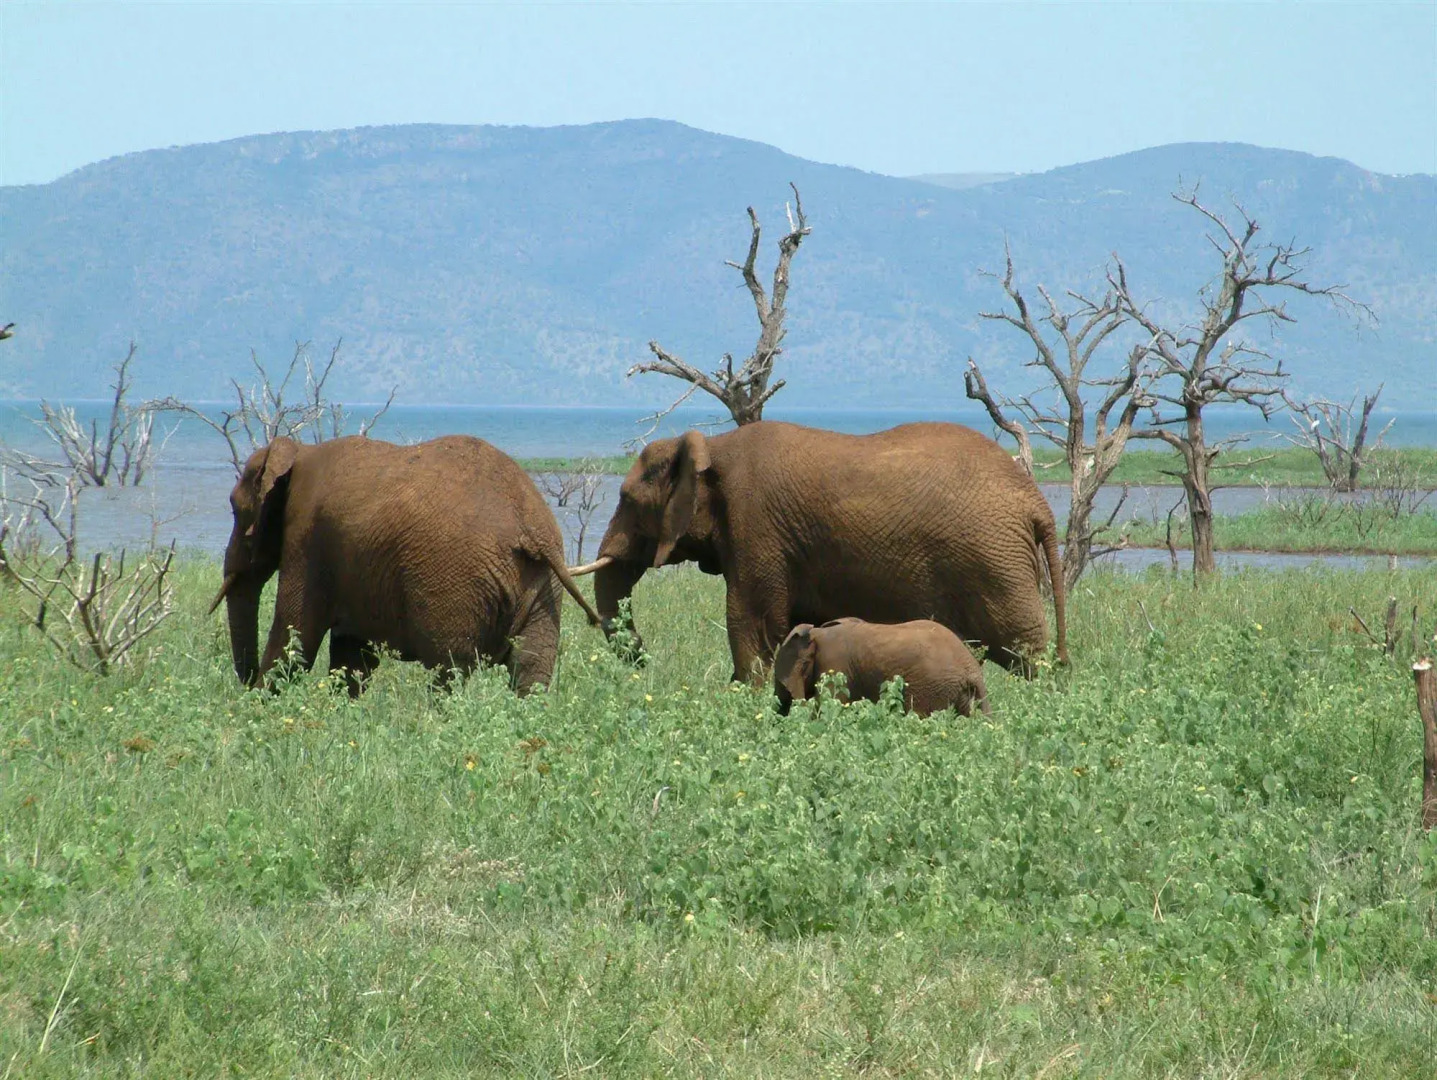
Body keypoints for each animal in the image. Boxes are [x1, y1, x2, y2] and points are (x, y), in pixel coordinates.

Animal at [211, 434, 602, 696]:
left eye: (235, 510)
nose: (245, 681)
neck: (297, 450)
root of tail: (529, 525)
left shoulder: (306, 540)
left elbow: (296, 639)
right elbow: (351, 655)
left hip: (456, 583)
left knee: (449, 671)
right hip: (543, 585)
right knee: (530, 671)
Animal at [569, 421, 1067, 681]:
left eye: (627, 500)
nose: (645, 664)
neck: (713, 446)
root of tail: (1036, 501)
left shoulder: (756, 527)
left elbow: (750, 625)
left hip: (995, 563)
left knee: (1025, 649)